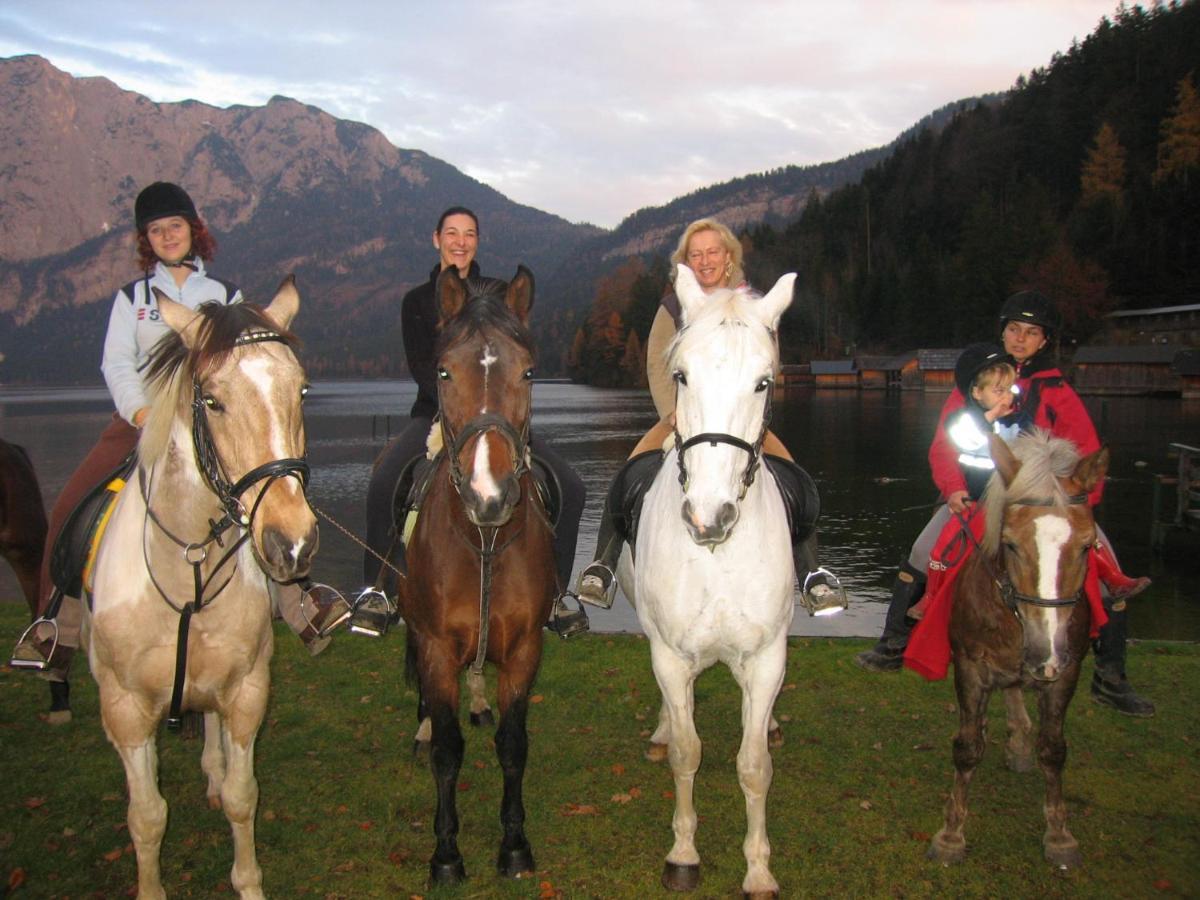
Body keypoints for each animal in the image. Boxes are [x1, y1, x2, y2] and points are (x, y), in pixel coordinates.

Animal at [83, 283, 314, 900]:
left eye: (301, 389)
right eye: (211, 401)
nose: (291, 542)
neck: (186, 569)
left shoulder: (247, 690)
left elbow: (242, 795)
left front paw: (248, 884)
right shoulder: (124, 710)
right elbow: (147, 817)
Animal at [398, 266, 556, 888]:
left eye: (529, 371)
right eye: (444, 370)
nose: (491, 497)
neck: (483, 540)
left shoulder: (524, 648)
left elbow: (513, 745)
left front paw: (514, 845)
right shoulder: (437, 646)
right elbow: (448, 749)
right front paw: (445, 854)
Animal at [619, 266, 796, 900]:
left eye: (765, 382)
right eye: (681, 376)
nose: (708, 516)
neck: (718, 554)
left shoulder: (767, 658)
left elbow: (753, 765)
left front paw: (759, 869)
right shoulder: (671, 656)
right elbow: (687, 753)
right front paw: (684, 853)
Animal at [921, 434, 1108, 868]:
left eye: (1087, 546)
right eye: (1010, 544)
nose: (1044, 650)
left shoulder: (1066, 672)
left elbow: (1054, 750)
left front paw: (1059, 835)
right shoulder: (970, 667)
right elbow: (966, 747)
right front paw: (951, 835)